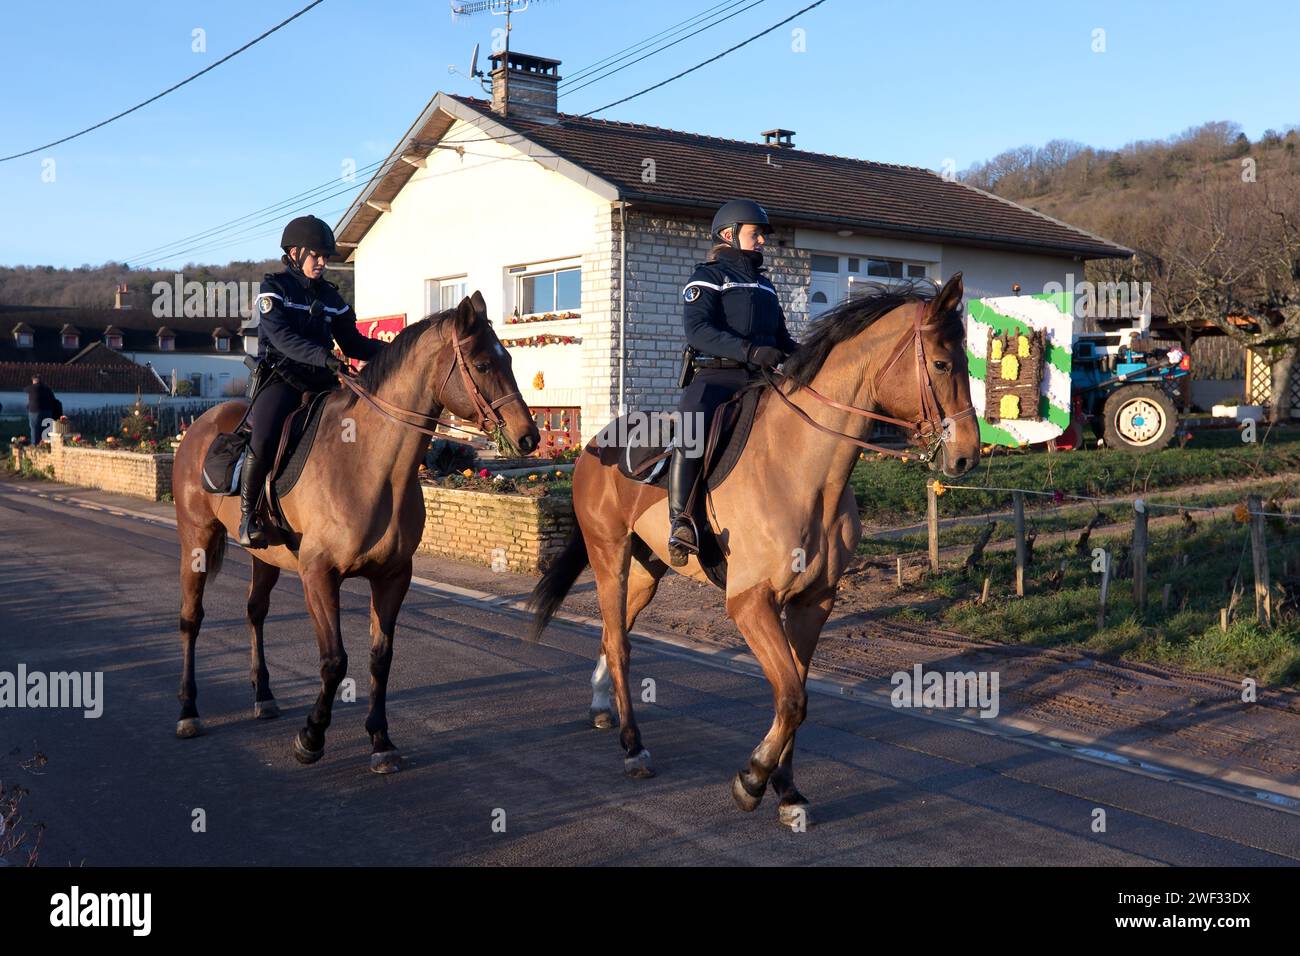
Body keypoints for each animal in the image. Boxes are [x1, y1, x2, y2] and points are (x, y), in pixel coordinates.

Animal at [172, 291, 538, 770]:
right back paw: (188, 711)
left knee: (255, 611)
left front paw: (381, 740)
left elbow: (380, 658)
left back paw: (264, 696)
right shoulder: (318, 575)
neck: (368, 463)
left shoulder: (393, 577)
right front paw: (311, 737)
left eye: (508, 358)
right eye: (481, 363)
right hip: (195, 540)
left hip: (264, 555)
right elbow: (334, 661)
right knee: (191, 619)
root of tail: (199, 426)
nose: (529, 436)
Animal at [527, 273, 977, 827]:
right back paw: (633, 747)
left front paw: (787, 791)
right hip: (609, 556)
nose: (968, 455)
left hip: (647, 570)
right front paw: (753, 779)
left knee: (616, 635)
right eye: (941, 363)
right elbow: (792, 697)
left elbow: (796, 696)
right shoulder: (749, 602)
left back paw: (600, 705)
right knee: (620, 643)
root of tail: (593, 444)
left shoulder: (813, 602)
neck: (804, 470)